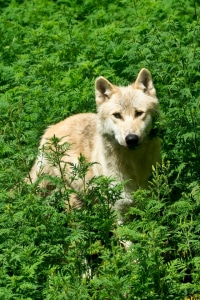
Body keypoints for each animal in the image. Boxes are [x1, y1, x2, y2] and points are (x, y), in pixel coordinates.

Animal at [27, 67, 161, 214]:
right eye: (117, 115)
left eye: (139, 113)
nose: (131, 139)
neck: (134, 164)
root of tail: (50, 129)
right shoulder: (116, 209)